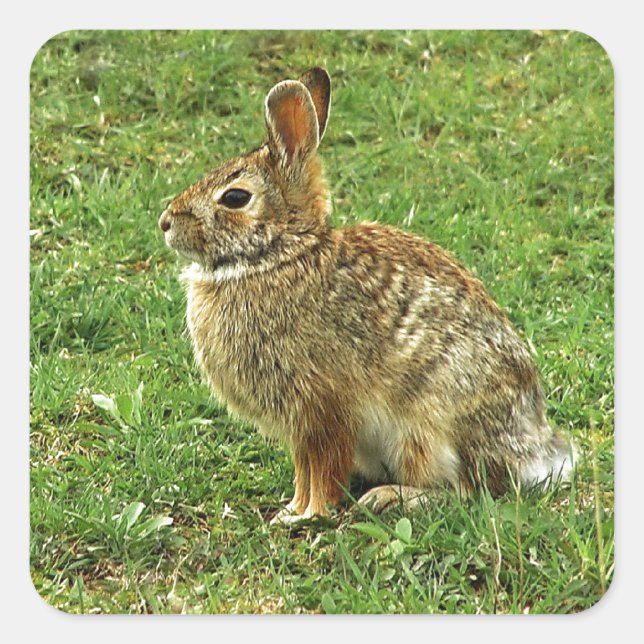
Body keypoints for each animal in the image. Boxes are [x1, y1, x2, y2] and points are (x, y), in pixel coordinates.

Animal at [159, 67, 577, 524]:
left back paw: (391, 497)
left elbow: (322, 469)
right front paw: (292, 509)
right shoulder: (302, 426)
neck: (279, 254)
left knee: (466, 491)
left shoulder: (322, 409)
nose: (165, 222)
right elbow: (304, 470)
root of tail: (533, 453)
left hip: (425, 429)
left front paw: (308, 514)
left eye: (235, 198)